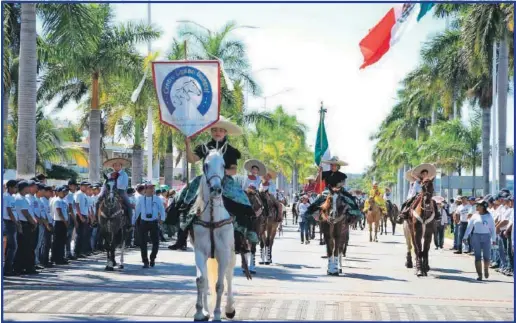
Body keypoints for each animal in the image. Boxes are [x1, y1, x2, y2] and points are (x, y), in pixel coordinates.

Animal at [190, 149, 237, 322]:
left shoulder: (223, 254)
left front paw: (217, 313)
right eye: (206, 164)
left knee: (229, 275)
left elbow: (220, 284)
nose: (216, 189)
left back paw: (229, 308)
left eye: (223, 165)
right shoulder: (199, 252)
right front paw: (200, 312)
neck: (211, 218)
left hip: (232, 253)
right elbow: (201, 281)